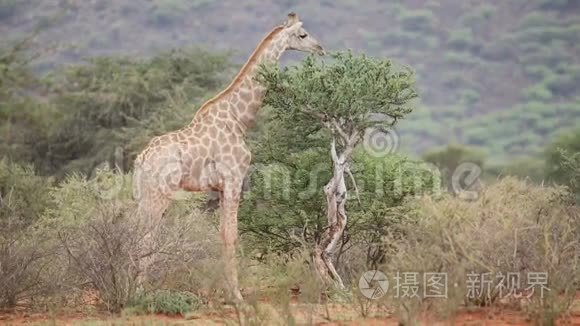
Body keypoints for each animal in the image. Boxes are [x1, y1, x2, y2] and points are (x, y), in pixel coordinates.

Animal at [131, 12, 324, 304]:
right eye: (303, 35)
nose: (320, 48)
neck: (239, 119)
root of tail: (141, 159)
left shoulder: (218, 188)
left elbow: (221, 235)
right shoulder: (234, 179)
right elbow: (231, 235)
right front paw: (237, 295)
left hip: (144, 195)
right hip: (159, 194)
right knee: (146, 236)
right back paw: (140, 293)